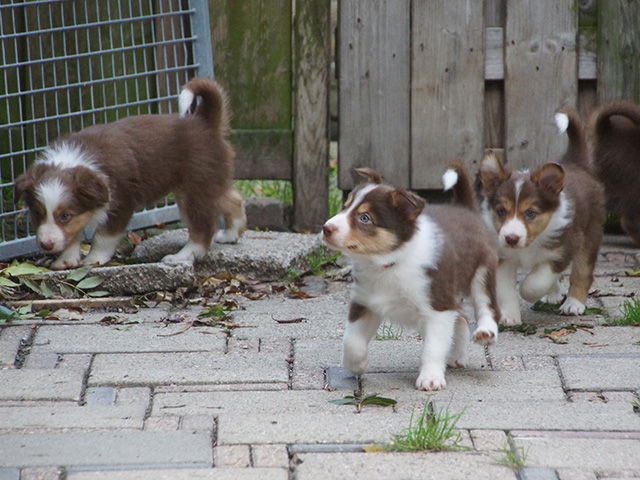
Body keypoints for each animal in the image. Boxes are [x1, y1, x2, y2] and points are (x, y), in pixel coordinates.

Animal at [15, 77, 246, 270]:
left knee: (203, 228)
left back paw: (182, 256)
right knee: (233, 198)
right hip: (209, 181)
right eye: (37, 214)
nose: (46, 245)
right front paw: (66, 260)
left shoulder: (121, 202)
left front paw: (93, 259)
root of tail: (204, 122)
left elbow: (103, 236)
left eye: (64, 216)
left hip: (194, 189)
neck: (75, 159)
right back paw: (231, 234)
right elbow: (72, 235)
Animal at [321, 164, 500, 391]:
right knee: (461, 317)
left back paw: (486, 332)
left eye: (365, 218)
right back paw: (457, 357)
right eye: (344, 207)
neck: (391, 263)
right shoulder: (365, 302)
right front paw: (358, 365)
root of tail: (465, 209)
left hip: (483, 270)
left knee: (487, 305)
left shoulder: (438, 308)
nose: (326, 228)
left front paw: (430, 378)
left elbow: (433, 348)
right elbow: (352, 341)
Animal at [479, 107, 605, 325]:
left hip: (590, 236)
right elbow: (505, 290)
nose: (511, 238)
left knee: (583, 273)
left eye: (530, 212)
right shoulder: (503, 257)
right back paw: (553, 295)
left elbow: (536, 280)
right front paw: (510, 317)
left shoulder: (564, 249)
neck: (530, 243)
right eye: (501, 211)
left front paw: (528, 292)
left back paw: (573, 304)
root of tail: (576, 164)